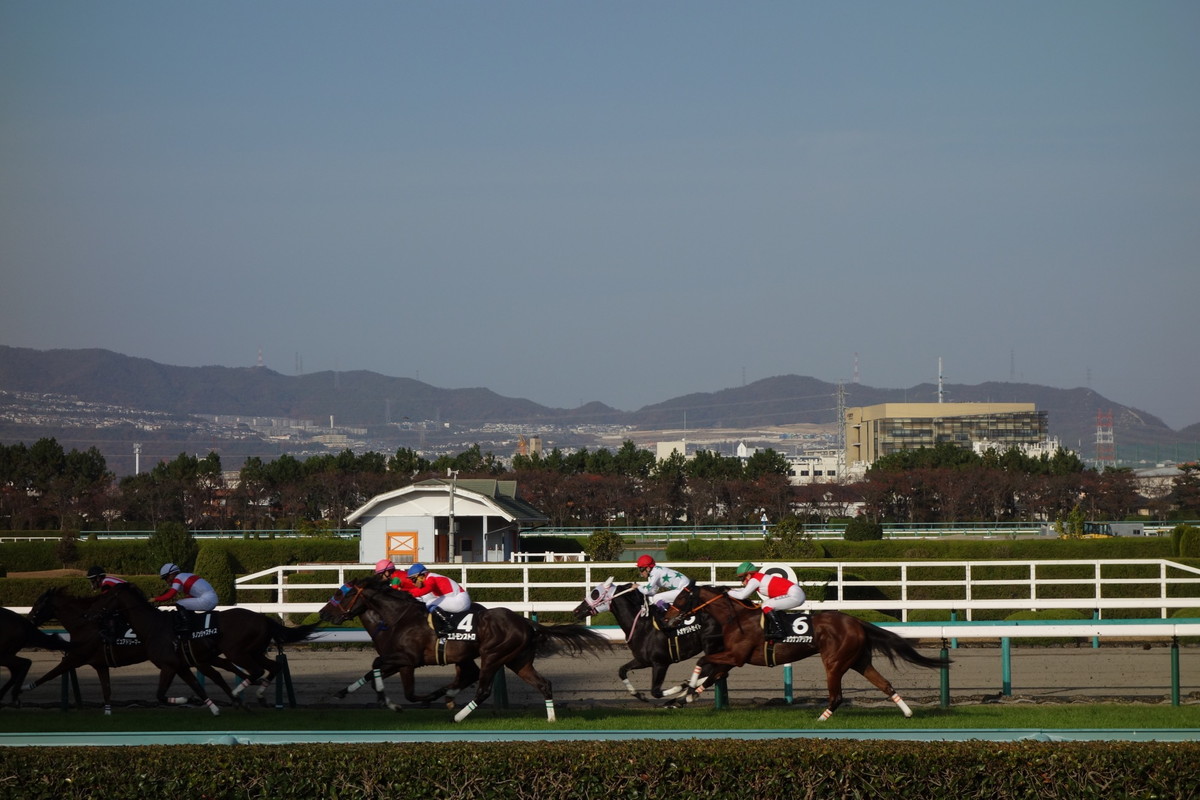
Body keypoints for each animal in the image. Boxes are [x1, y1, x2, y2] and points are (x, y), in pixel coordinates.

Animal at [316, 578, 609, 724]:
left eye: (341, 594)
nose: (323, 613)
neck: (397, 617)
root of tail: (526, 622)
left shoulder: (408, 659)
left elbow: (403, 687)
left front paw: (415, 700)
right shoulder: (397, 659)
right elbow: (373, 668)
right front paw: (347, 693)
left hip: (494, 656)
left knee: (483, 689)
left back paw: (457, 715)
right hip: (518, 661)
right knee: (544, 684)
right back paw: (550, 719)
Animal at [571, 578, 720, 705]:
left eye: (595, 593)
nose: (576, 610)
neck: (642, 625)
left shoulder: (660, 663)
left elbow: (656, 692)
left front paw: (680, 688)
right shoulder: (642, 660)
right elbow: (622, 671)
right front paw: (639, 695)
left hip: (711, 645)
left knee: (711, 669)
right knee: (710, 670)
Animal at [662, 585, 950, 724]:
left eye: (680, 599)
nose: (667, 619)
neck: (737, 618)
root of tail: (857, 622)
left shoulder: (736, 657)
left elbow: (702, 661)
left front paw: (682, 691)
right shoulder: (733, 659)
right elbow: (710, 674)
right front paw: (681, 695)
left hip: (834, 662)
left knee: (837, 696)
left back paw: (820, 718)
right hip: (859, 661)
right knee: (885, 684)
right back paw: (907, 713)